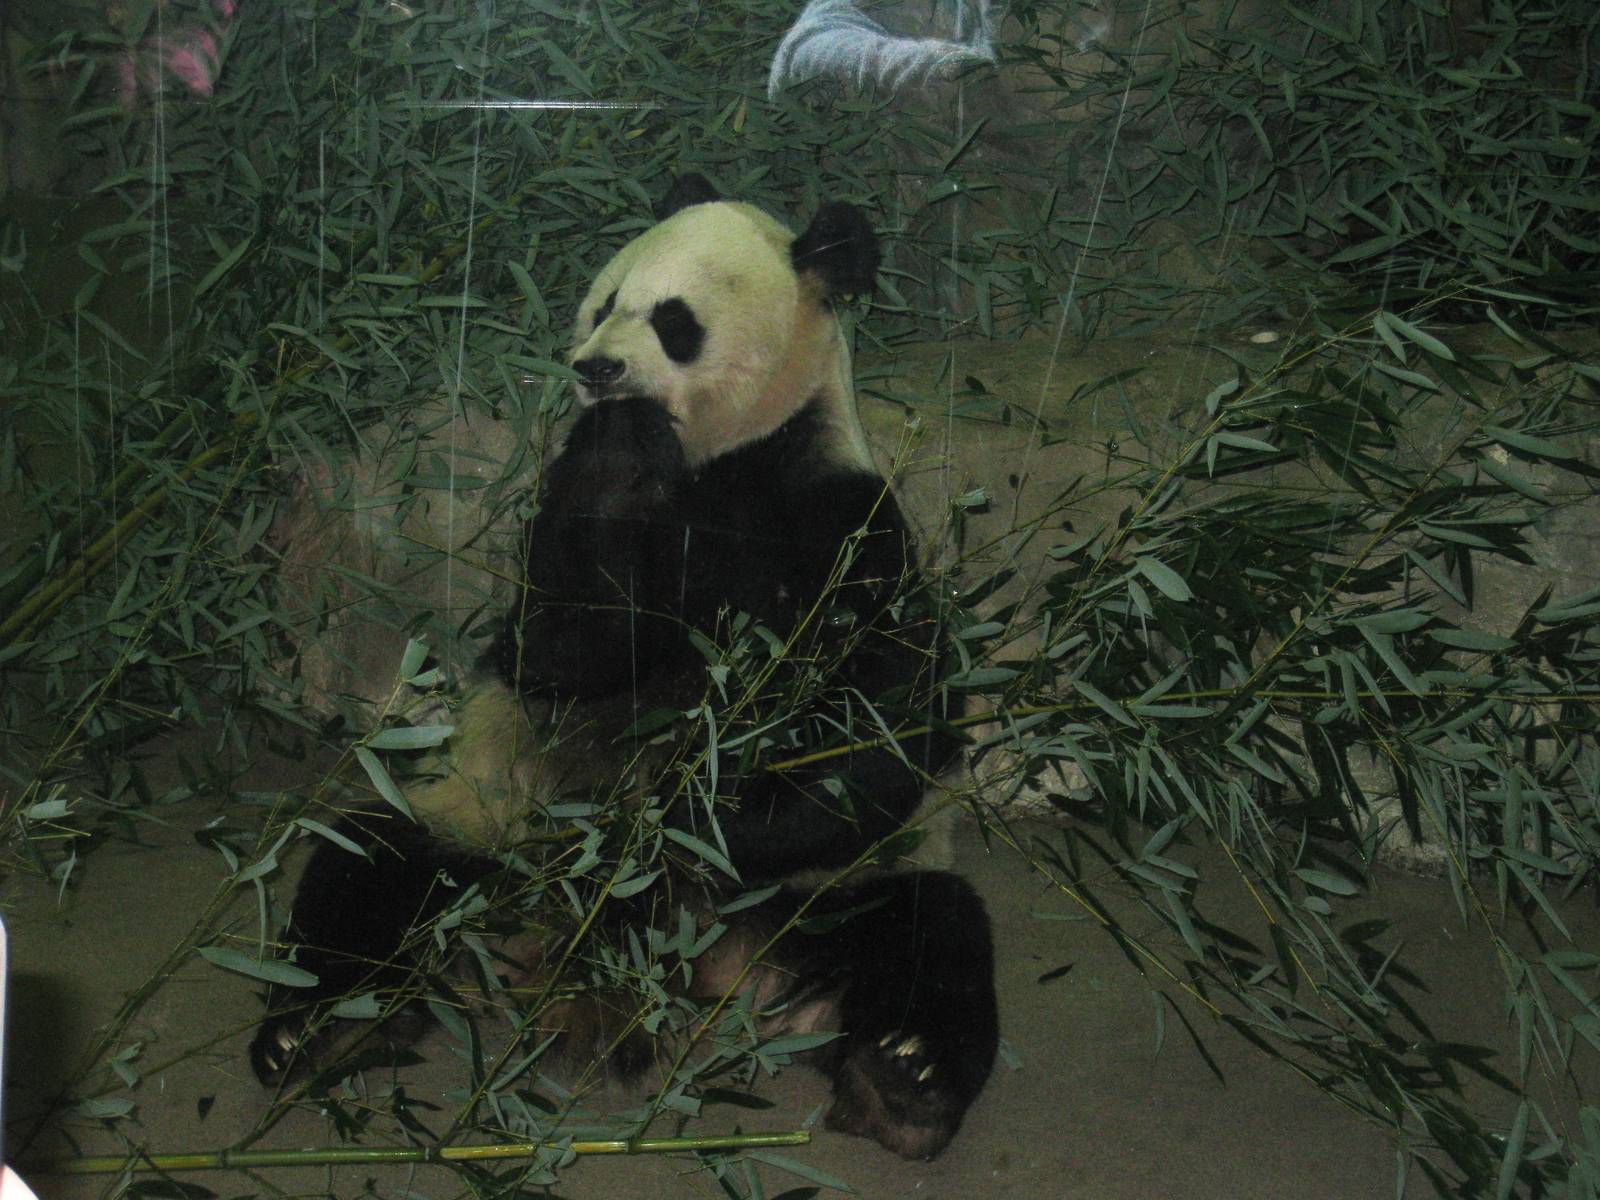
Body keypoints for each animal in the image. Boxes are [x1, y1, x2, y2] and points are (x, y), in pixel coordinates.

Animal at [250, 174, 999, 1161]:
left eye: (675, 320)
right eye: (605, 302)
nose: (597, 368)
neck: (715, 462)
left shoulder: (840, 520)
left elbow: (883, 715)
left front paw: (691, 816)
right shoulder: (569, 525)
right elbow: (555, 647)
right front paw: (616, 448)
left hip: (828, 895)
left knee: (929, 935)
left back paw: (904, 1083)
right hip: (487, 825)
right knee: (370, 863)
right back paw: (319, 1030)